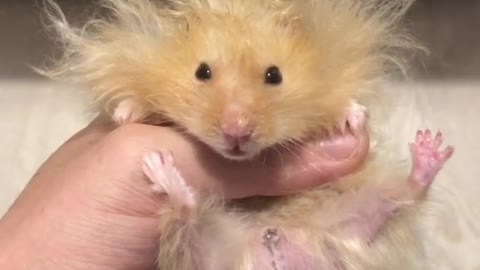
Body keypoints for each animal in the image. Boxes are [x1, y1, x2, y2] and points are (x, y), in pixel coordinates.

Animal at [38, 0, 454, 270]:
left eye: (274, 75)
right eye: (202, 72)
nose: (236, 133)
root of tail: (267, 245)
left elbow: (343, 102)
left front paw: (353, 120)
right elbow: (133, 99)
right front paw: (126, 115)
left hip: (356, 216)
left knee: (404, 195)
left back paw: (430, 149)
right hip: (196, 254)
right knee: (188, 220)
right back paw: (165, 174)